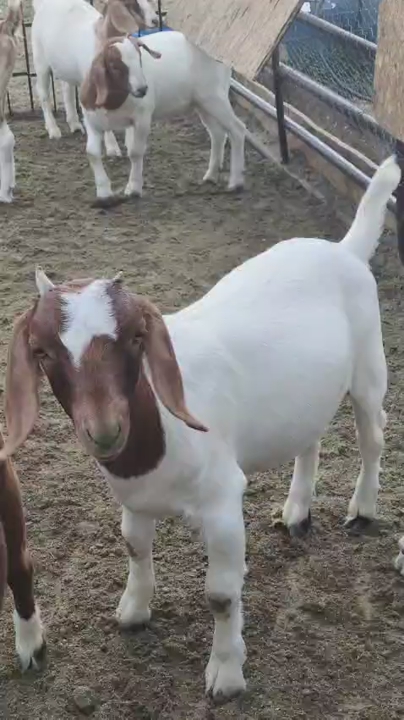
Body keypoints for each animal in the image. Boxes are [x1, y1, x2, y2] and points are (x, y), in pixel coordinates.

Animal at [0, 156, 399, 698]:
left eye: (136, 337)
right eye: (41, 351)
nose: (104, 430)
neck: (159, 435)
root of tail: (345, 248)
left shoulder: (223, 500)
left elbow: (221, 595)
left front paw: (226, 675)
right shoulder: (135, 500)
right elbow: (134, 547)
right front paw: (134, 611)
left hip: (368, 364)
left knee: (372, 434)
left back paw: (362, 509)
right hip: (308, 391)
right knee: (310, 438)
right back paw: (296, 512)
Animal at [31, 0, 158, 157]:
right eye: (131, 3)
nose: (155, 20)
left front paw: (130, 144)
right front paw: (112, 148)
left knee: (67, 89)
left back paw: (75, 125)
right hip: (40, 59)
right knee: (43, 92)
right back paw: (53, 130)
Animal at [79, 31, 246, 206]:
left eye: (140, 58)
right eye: (114, 66)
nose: (142, 89)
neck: (114, 102)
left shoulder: (142, 117)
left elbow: (135, 152)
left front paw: (134, 189)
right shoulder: (91, 121)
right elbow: (92, 153)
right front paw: (104, 194)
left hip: (215, 97)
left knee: (237, 129)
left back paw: (235, 183)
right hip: (202, 102)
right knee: (217, 134)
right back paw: (211, 176)